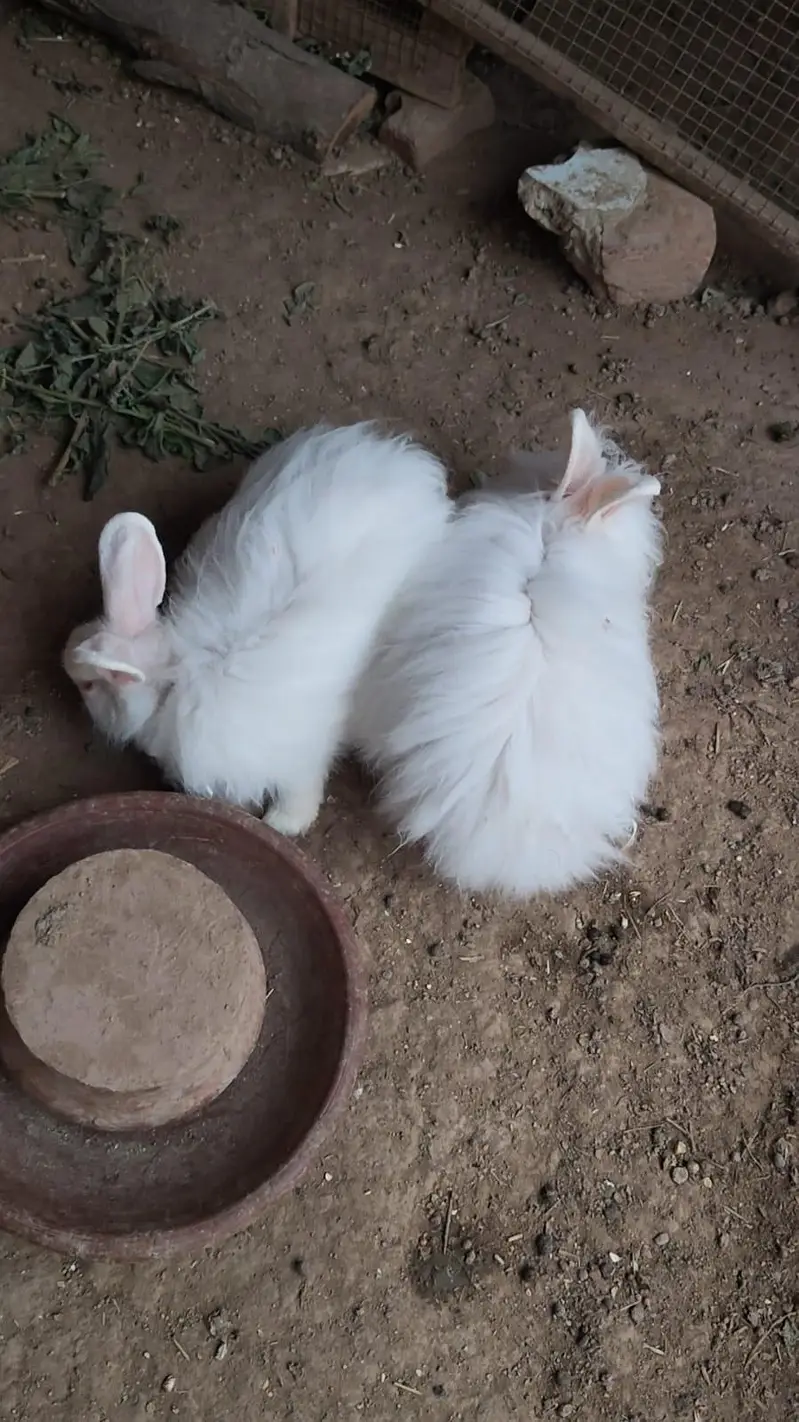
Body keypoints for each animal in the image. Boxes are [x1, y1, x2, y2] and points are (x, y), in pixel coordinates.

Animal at [63, 422, 451, 836]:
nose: (64, 658)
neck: (175, 678)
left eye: (89, 685)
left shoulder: (300, 757)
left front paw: (282, 824)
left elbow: (301, 793)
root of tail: (407, 460)